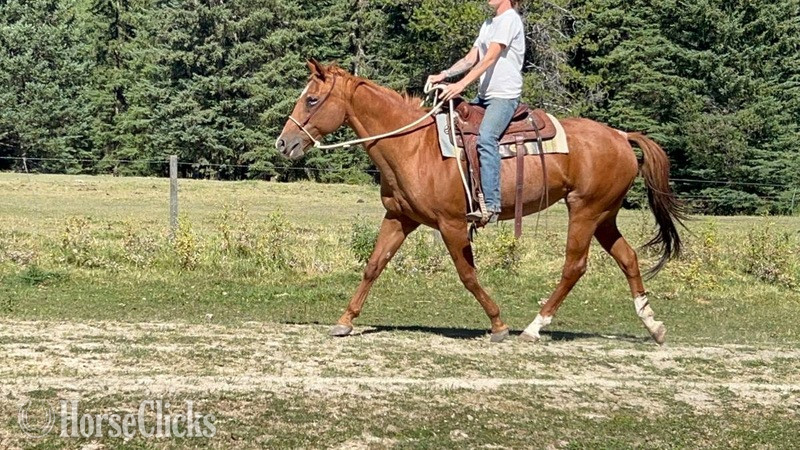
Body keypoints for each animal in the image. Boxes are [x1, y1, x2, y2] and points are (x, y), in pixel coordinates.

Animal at [276, 60, 686, 344]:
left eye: (312, 99)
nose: (284, 143)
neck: (413, 146)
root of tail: (620, 135)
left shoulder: (453, 224)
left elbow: (468, 275)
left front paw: (498, 324)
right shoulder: (399, 218)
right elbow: (373, 266)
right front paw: (345, 321)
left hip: (585, 210)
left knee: (574, 267)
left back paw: (535, 327)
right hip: (605, 216)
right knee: (628, 259)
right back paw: (654, 325)